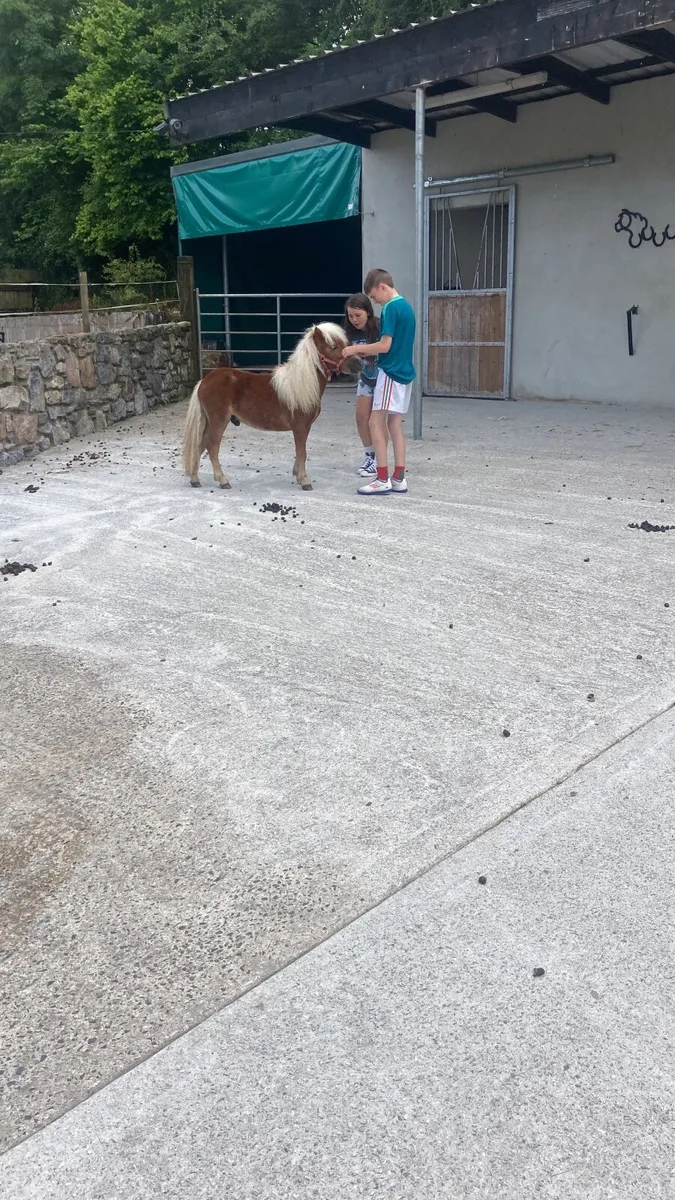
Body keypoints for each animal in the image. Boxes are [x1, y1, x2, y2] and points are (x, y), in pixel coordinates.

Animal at [182, 322, 361, 491]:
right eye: (333, 346)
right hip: (219, 421)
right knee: (212, 447)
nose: (359, 364)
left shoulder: (306, 427)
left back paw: (194, 479)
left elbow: (300, 452)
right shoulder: (300, 427)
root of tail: (203, 381)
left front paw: (297, 475)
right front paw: (304, 481)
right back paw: (223, 480)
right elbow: (302, 452)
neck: (302, 383)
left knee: (200, 445)